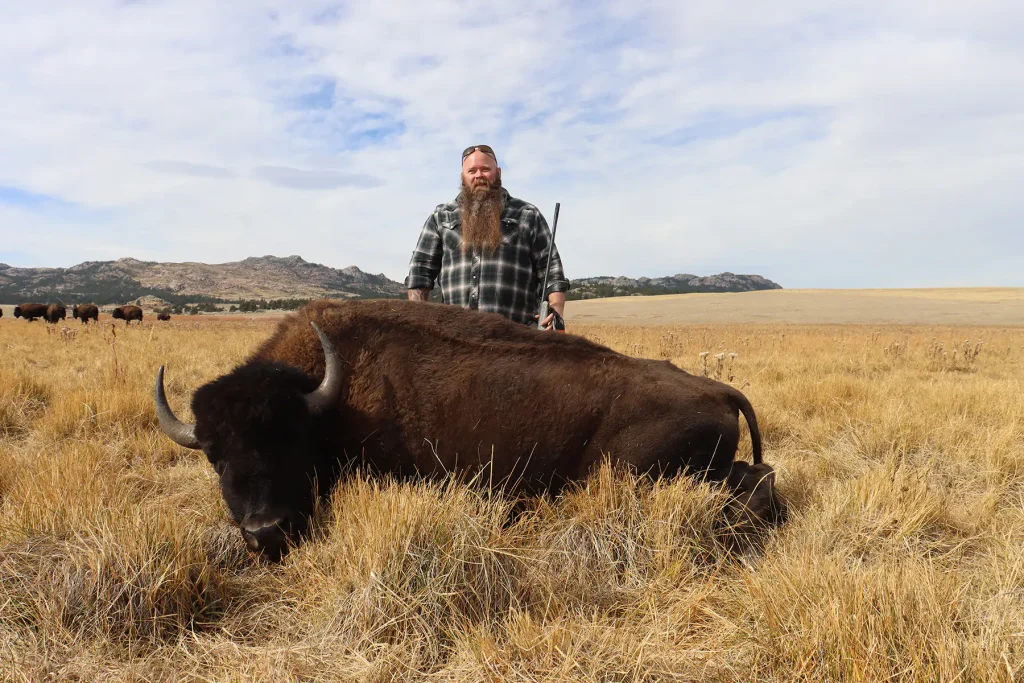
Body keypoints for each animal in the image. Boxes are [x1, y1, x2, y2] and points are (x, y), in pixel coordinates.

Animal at [154, 299, 786, 560]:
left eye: (291, 439)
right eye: (213, 455)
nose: (264, 532)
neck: (327, 396)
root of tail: (717, 389)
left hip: (636, 471)